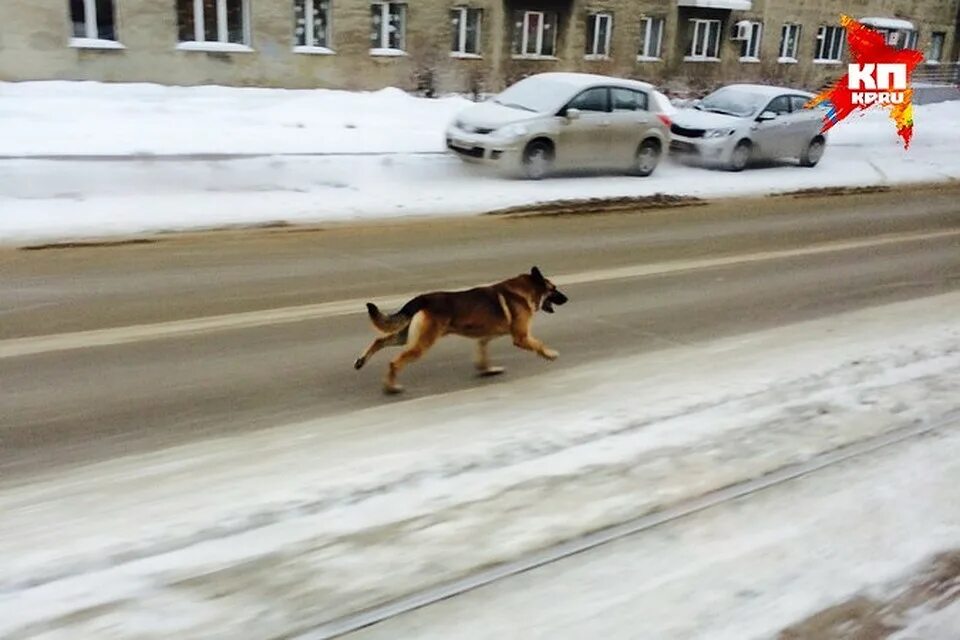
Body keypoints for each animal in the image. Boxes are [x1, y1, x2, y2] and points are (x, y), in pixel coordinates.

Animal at [354, 266, 568, 396]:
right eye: (553, 288)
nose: (567, 299)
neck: (523, 291)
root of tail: (422, 298)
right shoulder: (521, 337)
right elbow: (539, 345)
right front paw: (550, 354)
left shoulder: (484, 339)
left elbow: (482, 358)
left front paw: (488, 370)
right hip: (421, 344)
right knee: (394, 362)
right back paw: (391, 387)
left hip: (405, 336)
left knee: (379, 341)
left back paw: (361, 361)